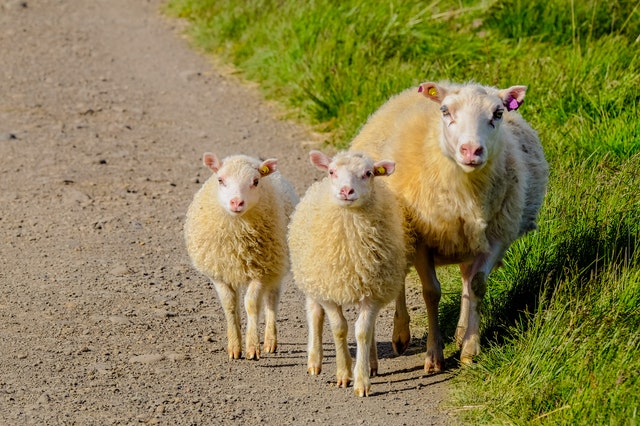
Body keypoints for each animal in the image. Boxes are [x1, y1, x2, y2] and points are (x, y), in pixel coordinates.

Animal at [182, 152, 298, 360]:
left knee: (271, 301)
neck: (238, 236)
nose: (236, 202)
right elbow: (229, 306)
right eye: (220, 180)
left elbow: (251, 305)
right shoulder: (219, 274)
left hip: (276, 266)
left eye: (255, 181)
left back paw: (270, 341)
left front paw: (252, 347)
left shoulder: (261, 271)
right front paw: (235, 347)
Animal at [288, 150, 408, 396]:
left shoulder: (373, 292)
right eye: (332, 171)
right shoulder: (329, 292)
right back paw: (314, 361)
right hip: (313, 280)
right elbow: (339, 329)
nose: (346, 191)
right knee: (315, 314)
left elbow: (363, 331)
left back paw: (372, 363)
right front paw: (343, 373)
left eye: (369, 173)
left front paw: (361, 381)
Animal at [350, 81, 552, 372]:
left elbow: (477, 285)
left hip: (469, 240)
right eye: (445, 111)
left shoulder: (496, 237)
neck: (465, 189)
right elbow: (431, 292)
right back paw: (400, 335)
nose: (471, 150)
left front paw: (469, 349)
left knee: (466, 278)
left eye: (498, 113)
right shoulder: (420, 238)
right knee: (398, 277)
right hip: (396, 232)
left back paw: (459, 332)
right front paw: (434, 355)